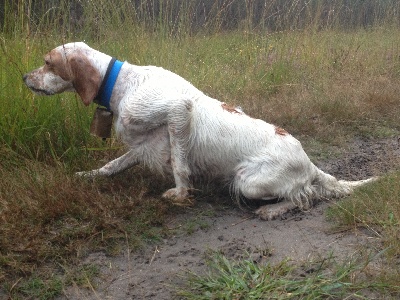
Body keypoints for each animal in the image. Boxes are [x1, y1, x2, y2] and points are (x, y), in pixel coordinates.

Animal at [22, 42, 372, 219]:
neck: (122, 83)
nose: (25, 77)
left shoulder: (178, 111)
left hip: (248, 183)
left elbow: (180, 165)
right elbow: (111, 166)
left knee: (306, 197)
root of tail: (308, 162)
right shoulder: (143, 145)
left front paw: (179, 194)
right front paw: (87, 176)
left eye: (47, 63)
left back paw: (273, 210)